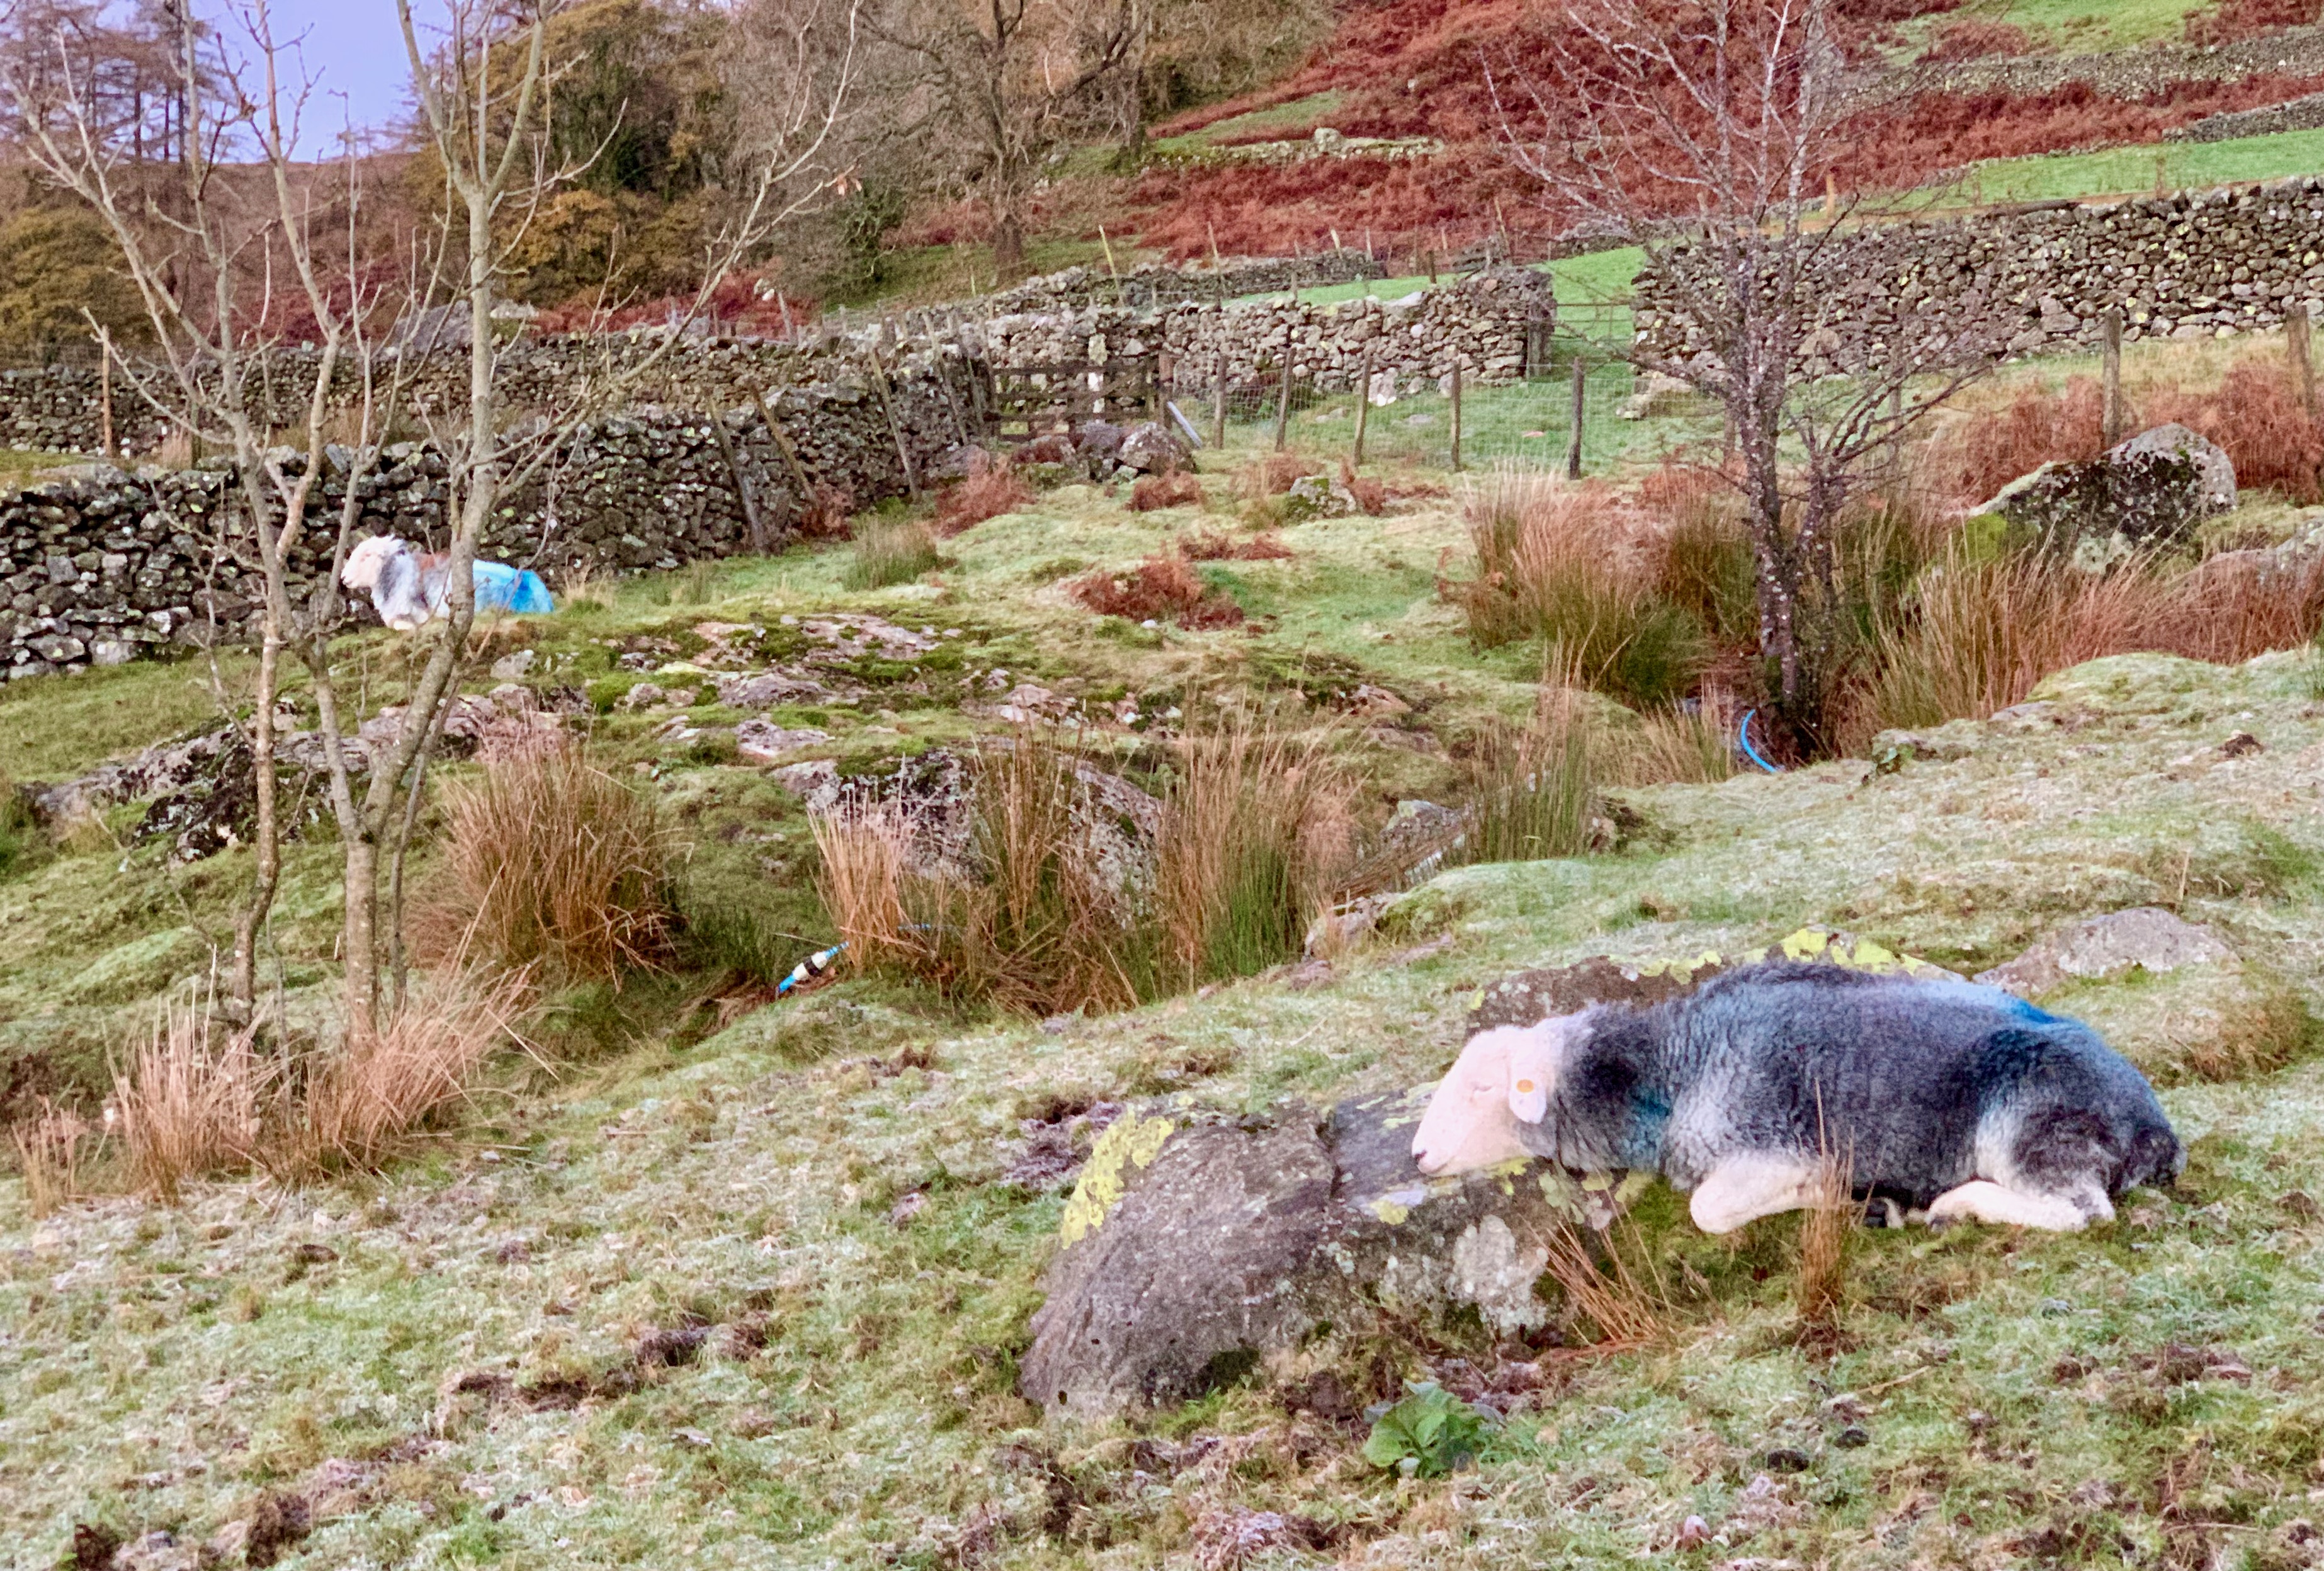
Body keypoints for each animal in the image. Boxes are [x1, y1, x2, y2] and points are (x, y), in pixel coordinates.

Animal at [1410, 961, 2181, 1233]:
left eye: (1482, 1086)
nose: (1416, 1152)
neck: (1672, 1066)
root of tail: (2155, 1129)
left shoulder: (1770, 1146)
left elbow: (1708, 1210)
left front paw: (1847, 1199)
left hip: (2031, 1125)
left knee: (2079, 1212)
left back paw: (1953, 1204)